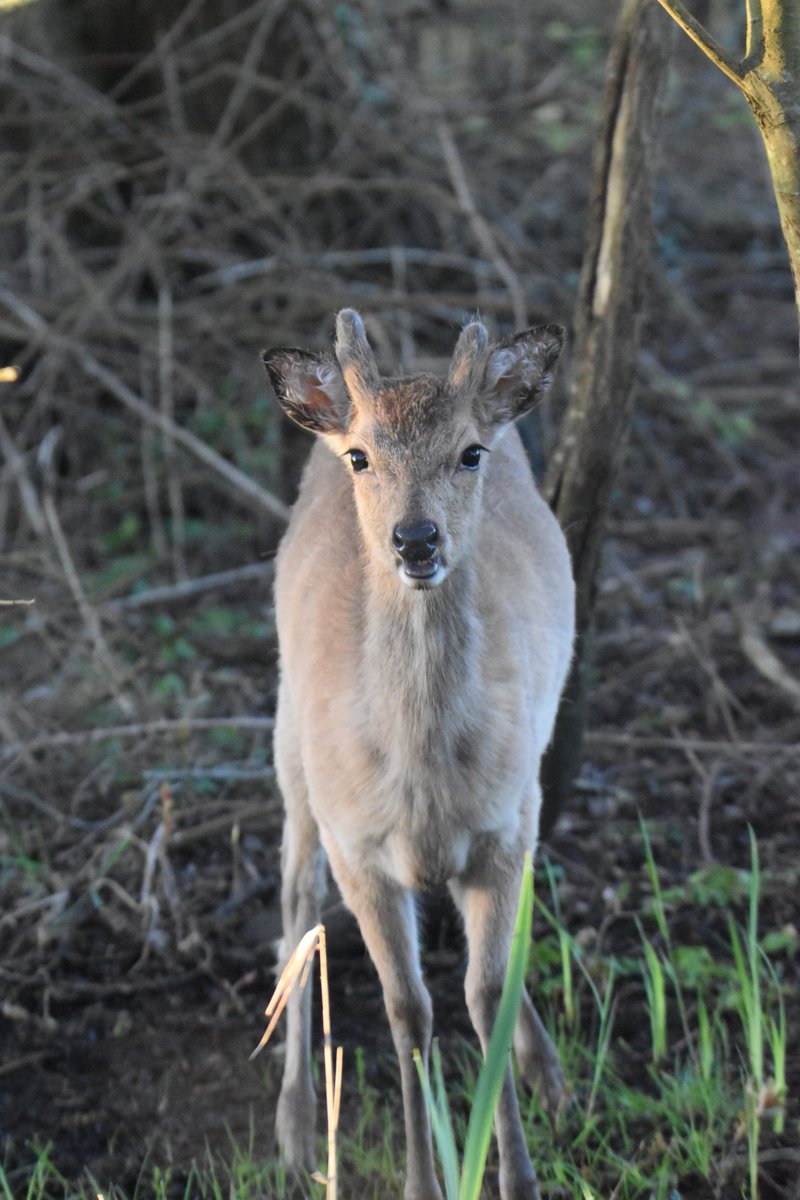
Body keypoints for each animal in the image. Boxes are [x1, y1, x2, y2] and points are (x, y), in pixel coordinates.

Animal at [262, 309, 575, 1200]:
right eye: (362, 456)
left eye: (470, 452)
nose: (416, 540)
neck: (425, 780)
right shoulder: (360, 846)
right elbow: (409, 1011)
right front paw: (422, 1179)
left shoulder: (504, 824)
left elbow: (484, 992)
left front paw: (518, 1177)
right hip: (291, 748)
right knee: (296, 907)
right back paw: (295, 1130)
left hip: (532, 774)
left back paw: (550, 1071)